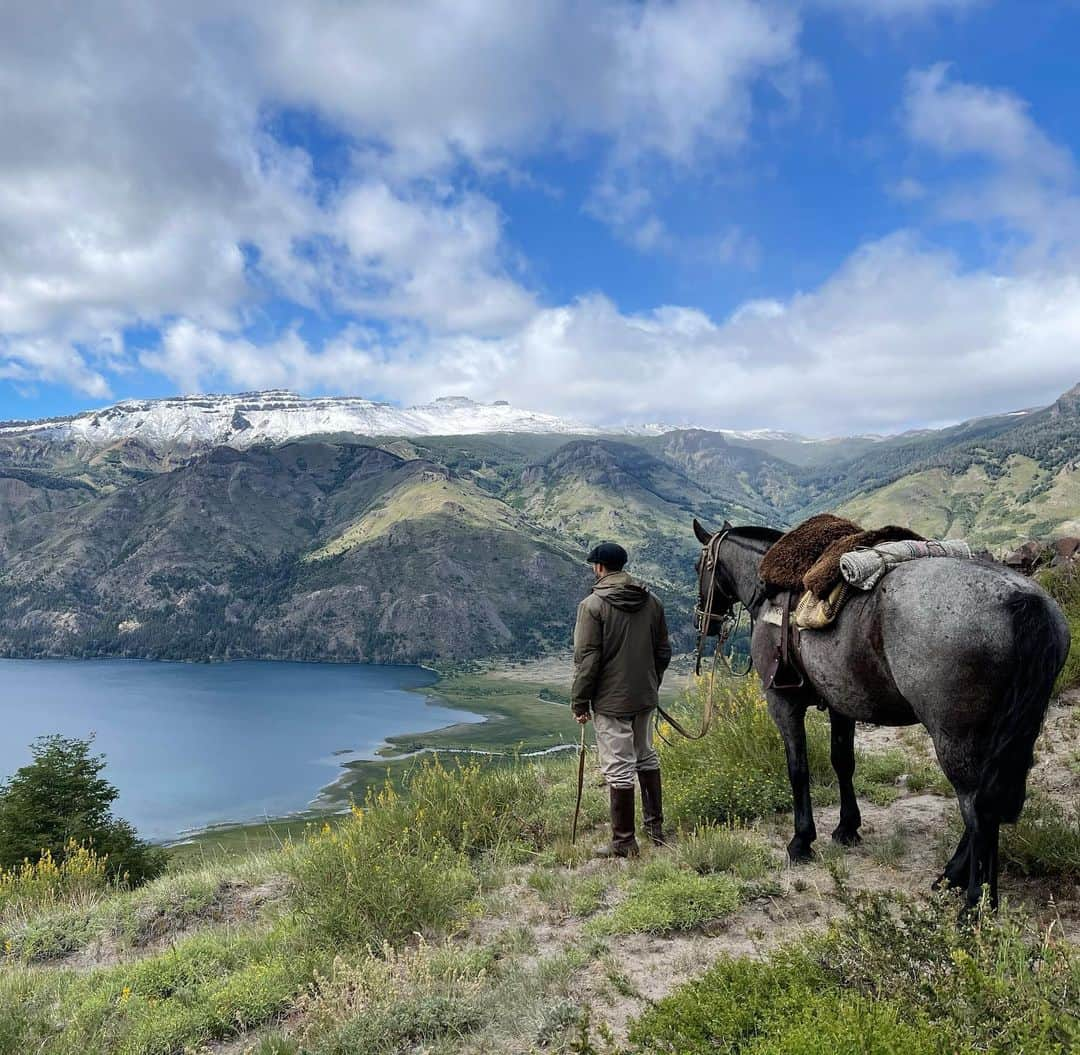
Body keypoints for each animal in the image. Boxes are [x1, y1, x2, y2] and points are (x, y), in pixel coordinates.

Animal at [691, 518, 1071, 907]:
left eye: (698, 567)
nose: (702, 620)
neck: (772, 593)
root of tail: (1020, 599)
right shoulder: (841, 704)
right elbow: (842, 762)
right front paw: (847, 828)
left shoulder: (782, 703)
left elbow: (798, 770)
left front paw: (801, 841)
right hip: (1010, 735)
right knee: (987, 801)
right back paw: (952, 878)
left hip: (955, 740)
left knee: (978, 810)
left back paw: (973, 901)